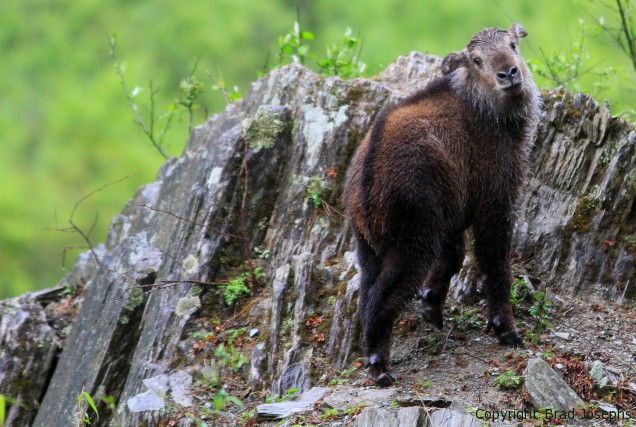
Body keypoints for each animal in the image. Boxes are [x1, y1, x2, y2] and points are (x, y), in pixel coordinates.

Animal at [346, 23, 540, 386]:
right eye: (476, 60)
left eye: (512, 44)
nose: (509, 74)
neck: (483, 108)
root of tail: (367, 178)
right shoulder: (495, 204)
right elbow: (495, 265)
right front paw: (506, 330)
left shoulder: (451, 216)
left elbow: (453, 259)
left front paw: (431, 308)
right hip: (411, 246)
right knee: (380, 301)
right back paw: (380, 367)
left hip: (368, 247)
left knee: (366, 295)